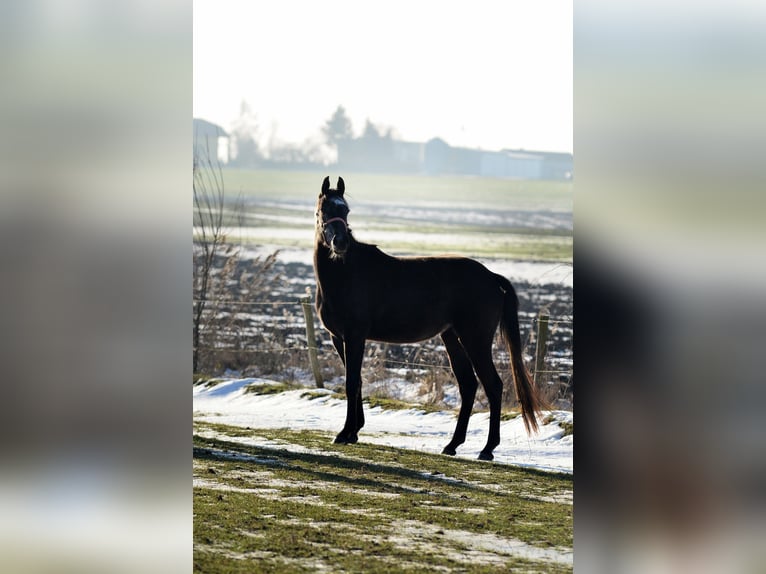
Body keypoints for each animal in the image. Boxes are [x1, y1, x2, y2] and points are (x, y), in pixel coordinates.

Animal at [313, 176, 546, 460]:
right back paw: (452, 445)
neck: (346, 273)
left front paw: (345, 433)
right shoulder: (339, 338)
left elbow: (351, 382)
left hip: (475, 340)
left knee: (493, 385)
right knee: (468, 385)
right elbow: (355, 381)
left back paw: (487, 449)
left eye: (345, 210)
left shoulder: (355, 337)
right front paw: (354, 431)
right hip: (452, 337)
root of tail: (491, 277)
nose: (341, 243)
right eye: (325, 209)